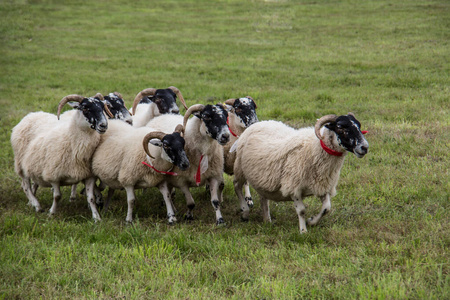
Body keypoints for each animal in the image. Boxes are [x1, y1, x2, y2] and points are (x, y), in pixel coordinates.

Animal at [232, 113, 370, 233]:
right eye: (341, 128)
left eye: (359, 127)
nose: (364, 147)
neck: (314, 149)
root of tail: (258, 124)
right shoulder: (294, 187)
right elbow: (302, 211)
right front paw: (303, 231)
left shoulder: (322, 185)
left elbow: (327, 208)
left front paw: (311, 221)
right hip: (240, 169)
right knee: (237, 186)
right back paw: (245, 212)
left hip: (263, 179)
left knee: (263, 197)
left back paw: (267, 220)